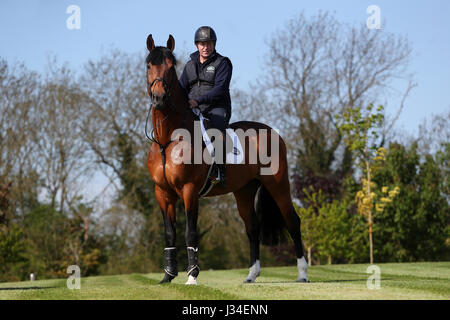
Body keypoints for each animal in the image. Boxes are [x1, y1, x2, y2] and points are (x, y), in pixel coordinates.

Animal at [146, 34, 308, 284]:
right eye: (148, 65)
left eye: (171, 67)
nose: (159, 98)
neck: (168, 141)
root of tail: (273, 132)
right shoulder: (162, 193)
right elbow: (170, 234)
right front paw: (167, 277)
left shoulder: (189, 191)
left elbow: (190, 233)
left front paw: (192, 277)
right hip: (244, 191)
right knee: (252, 228)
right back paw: (251, 275)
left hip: (278, 185)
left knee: (292, 221)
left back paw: (302, 273)